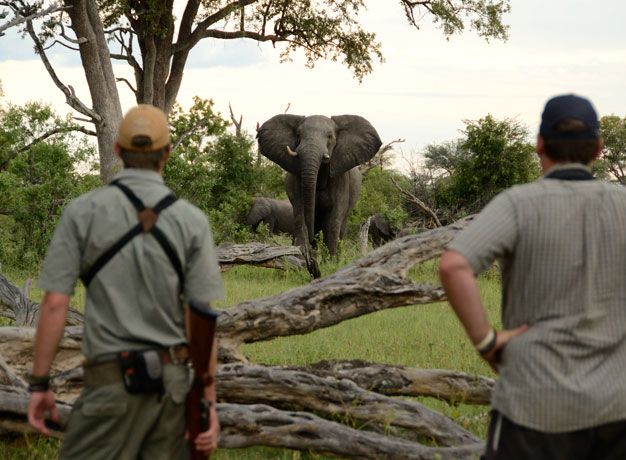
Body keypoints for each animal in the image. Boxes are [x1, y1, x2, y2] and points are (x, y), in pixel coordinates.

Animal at [256, 114, 382, 274]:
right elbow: (301, 216)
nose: (312, 258)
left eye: (330, 136)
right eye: (298, 135)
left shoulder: (341, 180)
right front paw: (302, 259)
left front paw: (331, 263)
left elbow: (334, 220)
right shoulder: (297, 179)